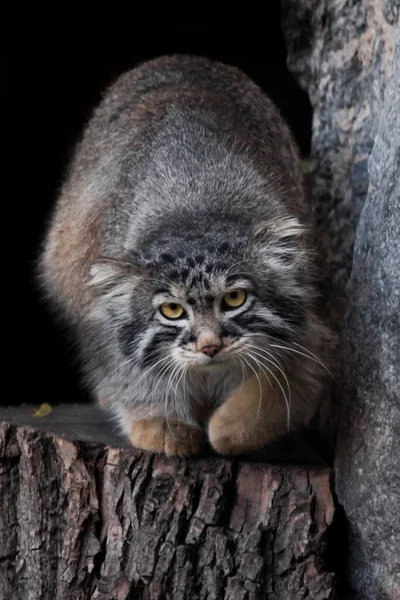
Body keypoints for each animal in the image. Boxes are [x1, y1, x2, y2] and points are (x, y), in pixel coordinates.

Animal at [38, 55, 332, 454]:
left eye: (234, 299)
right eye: (172, 311)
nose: (210, 347)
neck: (194, 213)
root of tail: (179, 57)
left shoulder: (305, 330)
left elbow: (279, 388)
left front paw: (227, 428)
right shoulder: (105, 319)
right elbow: (129, 368)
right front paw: (161, 421)